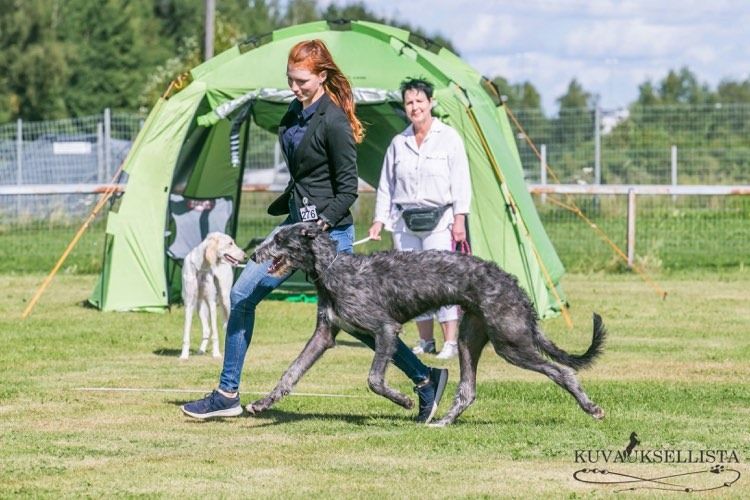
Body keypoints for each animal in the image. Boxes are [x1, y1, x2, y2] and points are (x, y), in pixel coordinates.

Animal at [180, 231, 245, 360]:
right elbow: (186, 333)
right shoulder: (189, 303)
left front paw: (216, 354)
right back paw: (201, 350)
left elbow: (215, 332)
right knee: (206, 329)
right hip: (199, 306)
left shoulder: (212, 303)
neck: (200, 267)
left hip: (225, 299)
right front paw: (184, 355)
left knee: (226, 326)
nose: (245, 256)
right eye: (230, 243)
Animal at [250, 221, 608, 424]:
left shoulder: (384, 329)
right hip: (469, 338)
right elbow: (291, 371)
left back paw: (591, 408)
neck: (333, 269)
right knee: (467, 389)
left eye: (280, 239)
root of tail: (515, 287)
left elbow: (374, 379)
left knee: (562, 371)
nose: (252, 255)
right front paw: (263, 402)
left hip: (511, 341)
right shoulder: (325, 334)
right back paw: (443, 421)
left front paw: (405, 399)